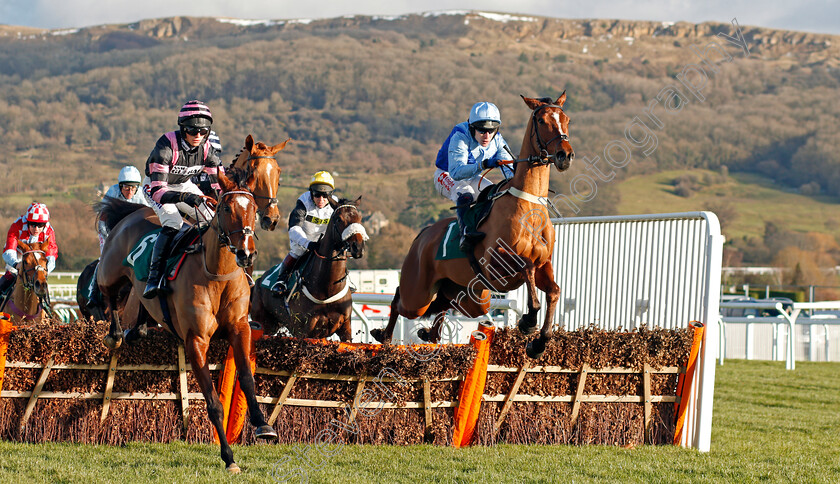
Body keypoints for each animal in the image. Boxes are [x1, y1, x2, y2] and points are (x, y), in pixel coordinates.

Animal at [94, 170, 278, 472]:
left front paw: (263, 426)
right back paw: (115, 334)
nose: (246, 253)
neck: (217, 274)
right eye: (226, 208)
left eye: (252, 208)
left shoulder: (240, 328)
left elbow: (248, 380)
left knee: (140, 304)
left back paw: (138, 328)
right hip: (109, 272)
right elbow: (213, 403)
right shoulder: (196, 340)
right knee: (108, 294)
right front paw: (229, 457)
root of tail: (133, 213)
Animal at [249, 197, 368, 340]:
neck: (327, 289)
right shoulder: (305, 331)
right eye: (339, 219)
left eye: (359, 218)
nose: (358, 247)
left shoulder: (345, 327)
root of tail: (259, 281)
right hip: (264, 324)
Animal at [370, 94, 576, 360]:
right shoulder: (497, 265)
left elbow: (554, 291)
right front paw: (528, 321)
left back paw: (429, 333)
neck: (527, 207)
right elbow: (526, 266)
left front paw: (539, 342)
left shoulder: (544, 264)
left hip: (471, 298)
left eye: (566, 119)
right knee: (398, 300)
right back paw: (383, 335)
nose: (564, 155)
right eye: (541, 120)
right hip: (417, 295)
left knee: (445, 304)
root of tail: (422, 236)